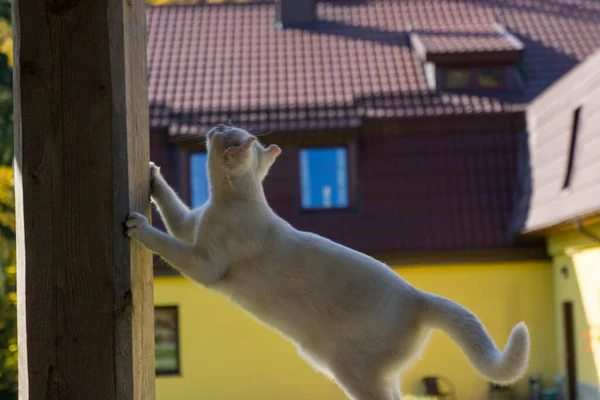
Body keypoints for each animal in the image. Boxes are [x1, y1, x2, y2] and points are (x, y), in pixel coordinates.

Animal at [125, 125, 528, 400]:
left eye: (224, 131)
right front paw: (152, 174)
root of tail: (418, 296)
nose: (214, 126)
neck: (234, 200)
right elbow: (173, 209)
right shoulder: (188, 224)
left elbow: (163, 240)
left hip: (354, 373)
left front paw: (138, 225)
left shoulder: (204, 264)